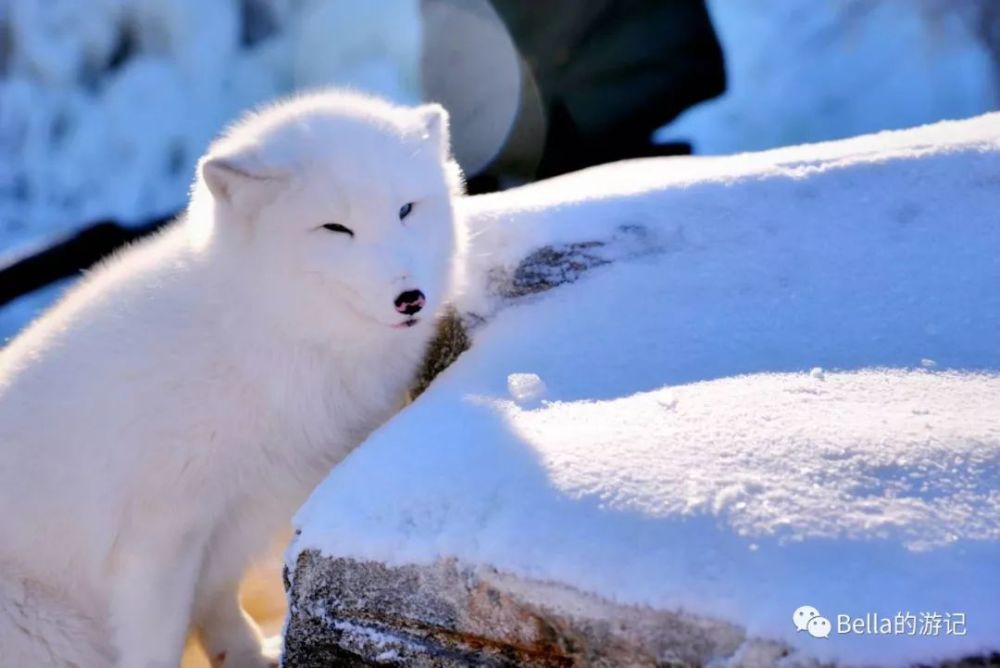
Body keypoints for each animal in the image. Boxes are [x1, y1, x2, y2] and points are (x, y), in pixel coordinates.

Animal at [0, 90, 462, 668]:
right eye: (335, 228)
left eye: (406, 209)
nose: (411, 298)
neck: (262, 337)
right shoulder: (160, 532)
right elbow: (156, 645)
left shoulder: (232, 525)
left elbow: (219, 605)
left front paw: (247, 655)